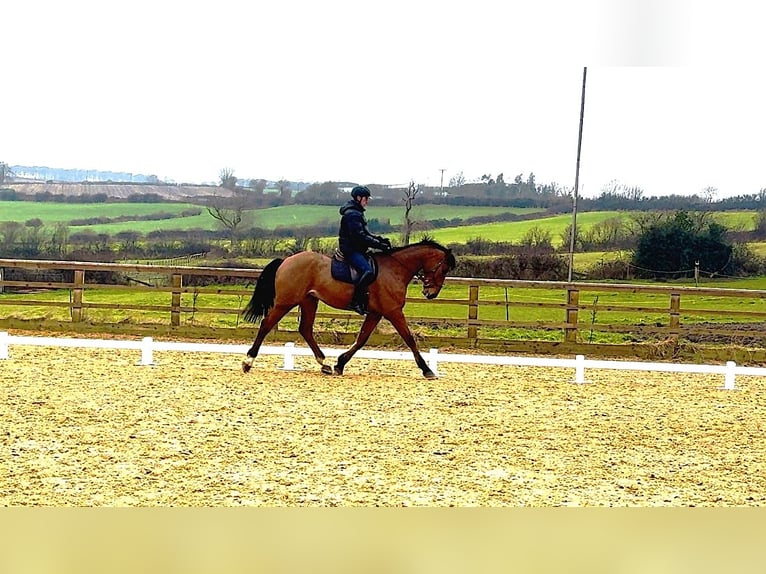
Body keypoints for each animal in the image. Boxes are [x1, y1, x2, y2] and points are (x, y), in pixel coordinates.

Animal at [240, 241, 456, 380]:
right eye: (444, 268)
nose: (430, 293)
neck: (395, 269)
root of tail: (286, 260)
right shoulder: (393, 311)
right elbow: (409, 339)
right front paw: (427, 369)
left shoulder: (376, 313)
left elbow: (361, 339)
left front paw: (340, 364)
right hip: (286, 302)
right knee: (266, 324)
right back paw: (248, 362)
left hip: (309, 301)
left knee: (305, 329)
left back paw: (324, 364)